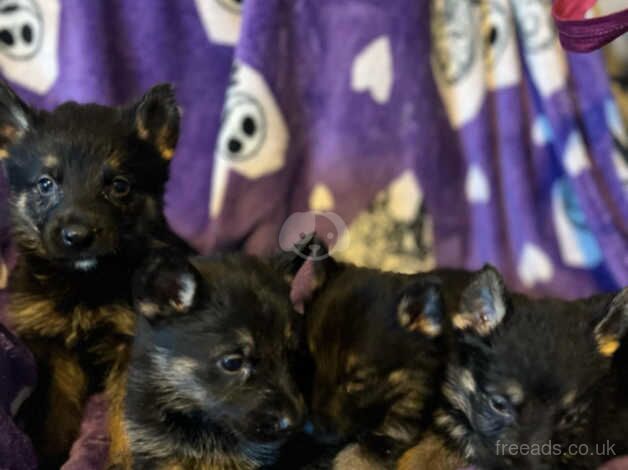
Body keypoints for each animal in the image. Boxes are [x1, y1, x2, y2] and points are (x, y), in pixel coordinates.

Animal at [0, 81, 182, 466]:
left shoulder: (132, 345)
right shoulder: (51, 347)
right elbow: (54, 411)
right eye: (45, 184)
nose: (77, 237)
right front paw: (49, 454)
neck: (84, 283)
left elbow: (125, 413)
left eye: (119, 186)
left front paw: (124, 460)